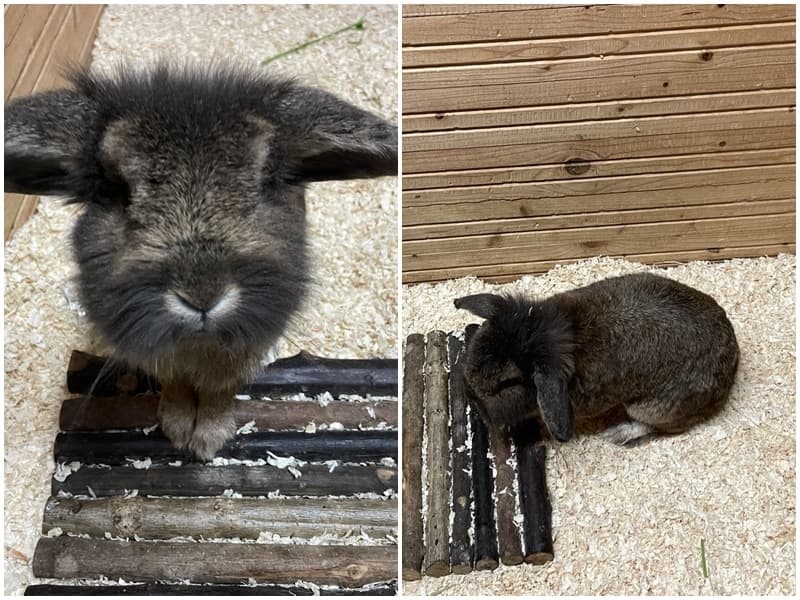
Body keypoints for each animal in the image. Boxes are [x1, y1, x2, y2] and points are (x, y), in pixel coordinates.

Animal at [5, 62, 397, 460]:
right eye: (118, 193)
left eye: (262, 185)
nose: (203, 297)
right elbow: (176, 384)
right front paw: (178, 431)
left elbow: (217, 391)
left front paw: (209, 441)